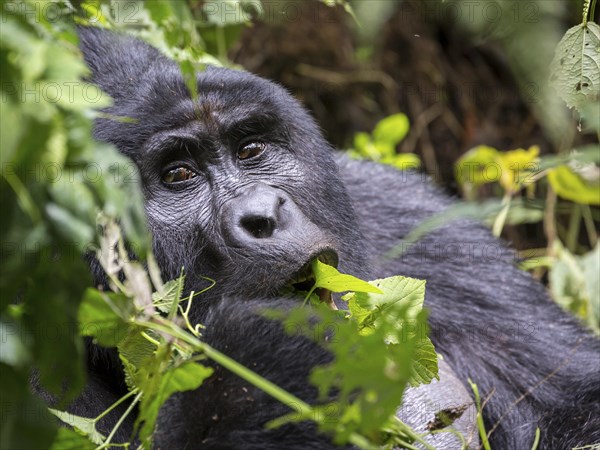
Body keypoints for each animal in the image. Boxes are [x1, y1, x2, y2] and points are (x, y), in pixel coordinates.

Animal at [63, 26, 596, 448]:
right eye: (178, 175)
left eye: (250, 148)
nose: (261, 216)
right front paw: (262, 355)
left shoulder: (408, 216)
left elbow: (575, 404)